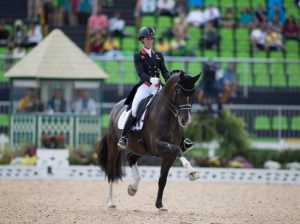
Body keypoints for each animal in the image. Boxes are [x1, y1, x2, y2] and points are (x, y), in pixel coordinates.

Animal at [97, 70, 202, 212]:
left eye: (193, 93)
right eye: (180, 93)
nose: (185, 120)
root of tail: (116, 107)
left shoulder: (168, 155)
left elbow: (162, 180)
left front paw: (160, 205)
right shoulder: (158, 145)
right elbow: (177, 149)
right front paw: (192, 172)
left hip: (142, 149)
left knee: (131, 158)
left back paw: (133, 187)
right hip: (114, 146)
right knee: (111, 171)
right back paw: (110, 202)